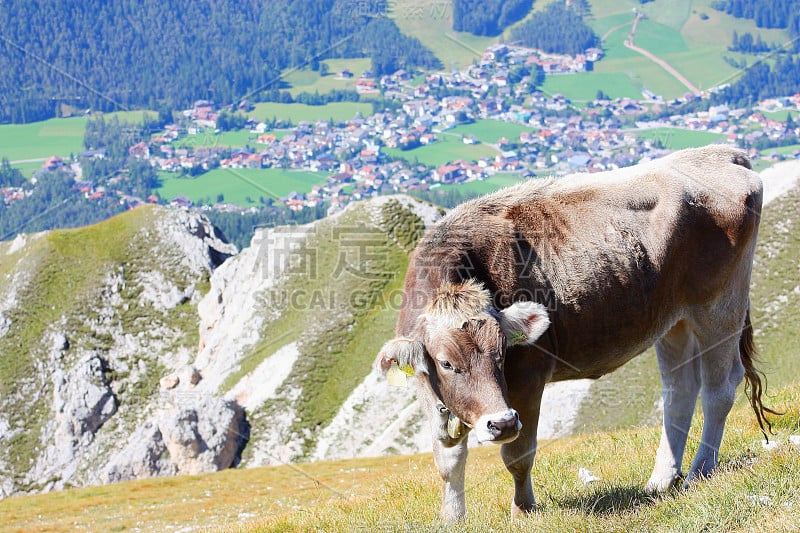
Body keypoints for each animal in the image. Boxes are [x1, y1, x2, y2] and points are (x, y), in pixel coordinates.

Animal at [378, 143, 780, 520]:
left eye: (503, 352)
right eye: (446, 363)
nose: (501, 423)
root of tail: (720, 154)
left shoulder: (528, 377)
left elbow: (518, 455)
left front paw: (523, 509)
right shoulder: (427, 388)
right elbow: (447, 459)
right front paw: (453, 517)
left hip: (719, 306)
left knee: (719, 389)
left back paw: (700, 470)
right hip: (673, 320)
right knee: (679, 390)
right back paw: (661, 480)